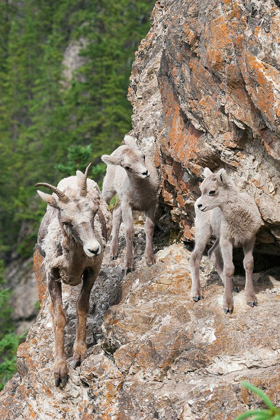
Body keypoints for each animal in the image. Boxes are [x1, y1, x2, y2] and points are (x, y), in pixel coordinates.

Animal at [35, 164, 111, 388]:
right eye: (66, 221)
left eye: (94, 212)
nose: (94, 249)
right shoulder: (52, 276)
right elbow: (59, 317)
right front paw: (59, 372)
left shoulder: (92, 271)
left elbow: (81, 306)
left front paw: (79, 355)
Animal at [101, 134, 159, 272]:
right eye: (127, 167)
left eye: (143, 156)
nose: (145, 173)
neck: (141, 195)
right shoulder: (128, 205)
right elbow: (129, 231)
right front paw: (128, 264)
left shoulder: (151, 203)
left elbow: (149, 227)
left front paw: (150, 258)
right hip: (108, 190)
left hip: (120, 200)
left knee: (116, 215)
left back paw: (114, 252)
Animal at [190, 167, 262, 312]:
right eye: (202, 189)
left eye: (212, 191)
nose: (200, 205)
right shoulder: (227, 242)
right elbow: (229, 268)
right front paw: (228, 305)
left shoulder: (249, 240)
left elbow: (248, 264)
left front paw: (251, 299)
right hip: (203, 231)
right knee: (195, 256)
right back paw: (196, 294)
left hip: (218, 237)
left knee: (212, 253)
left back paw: (233, 287)